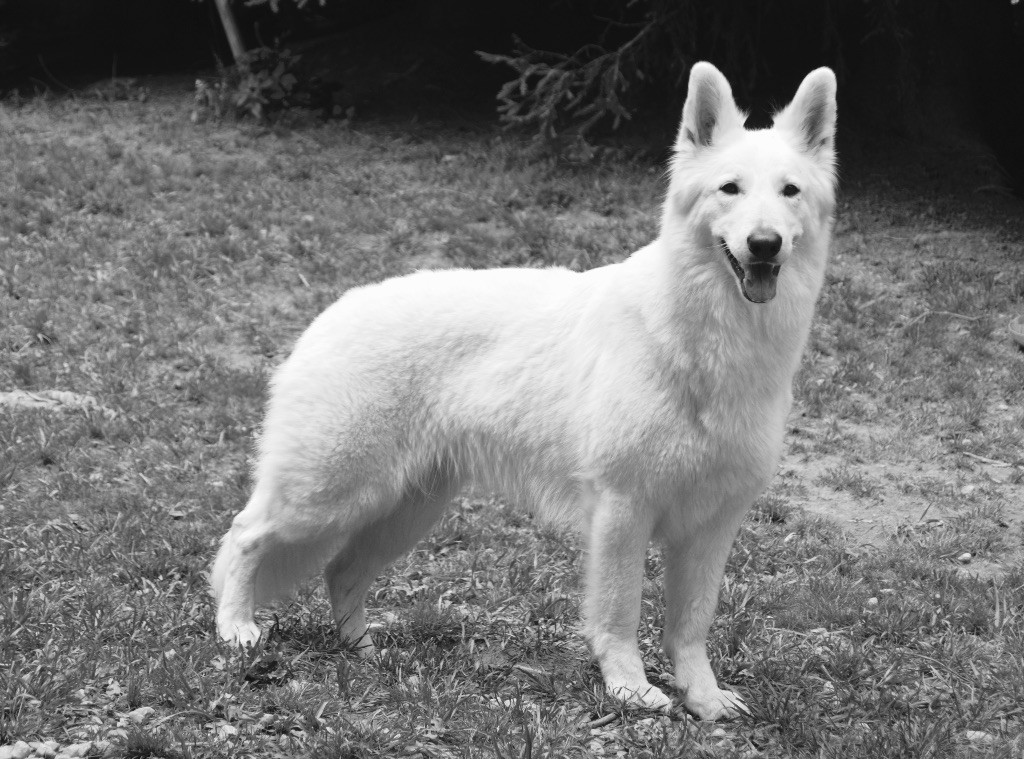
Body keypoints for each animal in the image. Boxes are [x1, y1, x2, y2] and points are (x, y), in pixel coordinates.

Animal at [211, 61, 837, 721]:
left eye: (790, 191)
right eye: (730, 189)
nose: (764, 245)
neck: (707, 343)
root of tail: (328, 315)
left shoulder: (712, 527)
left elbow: (691, 625)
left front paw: (704, 697)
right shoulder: (623, 511)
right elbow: (618, 613)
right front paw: (629, 687)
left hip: (404, 510)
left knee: (340, 573)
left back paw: (362, 650)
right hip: (330, 493)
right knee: (245, 535)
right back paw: (237, 629)